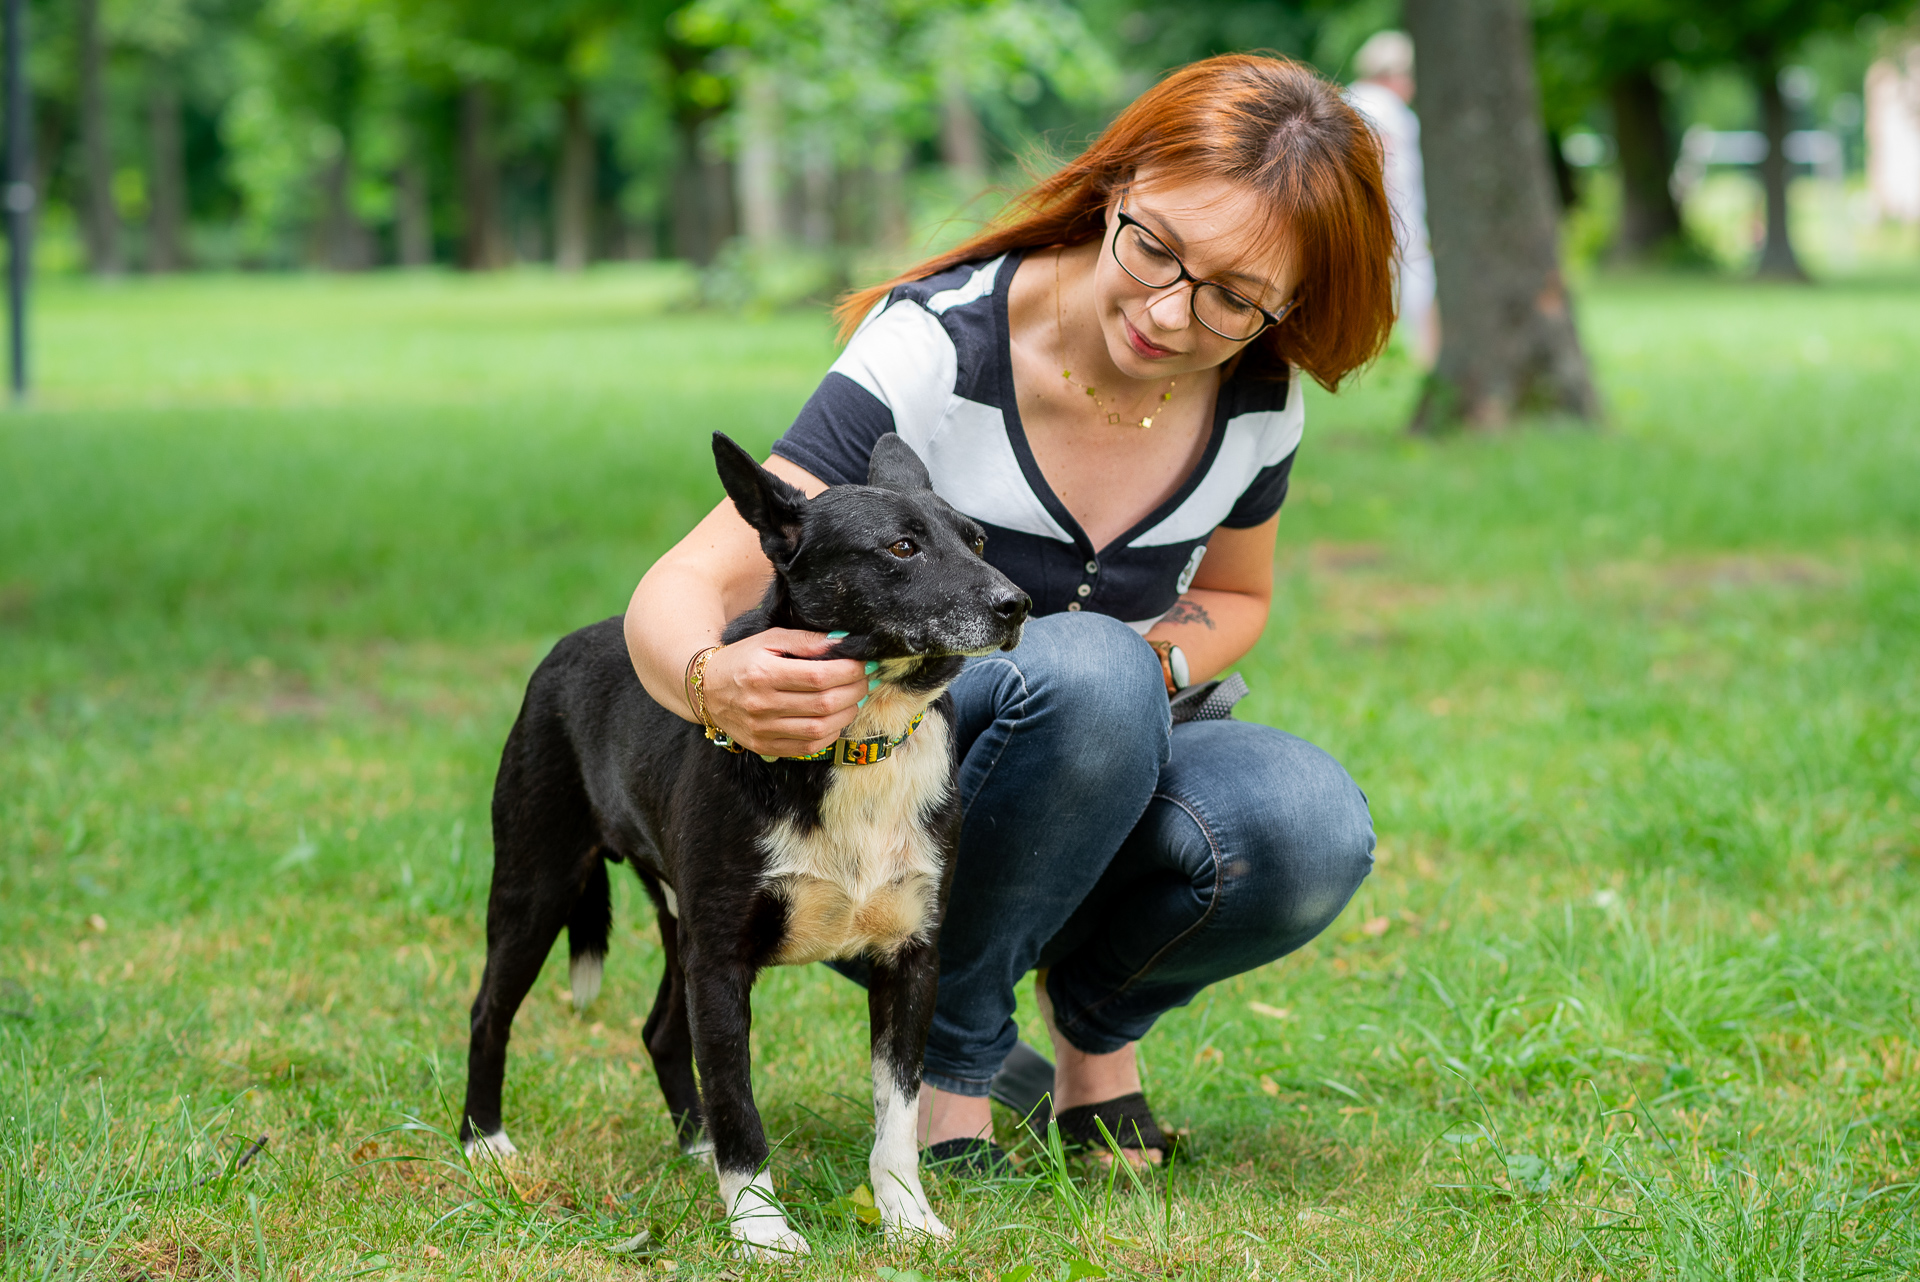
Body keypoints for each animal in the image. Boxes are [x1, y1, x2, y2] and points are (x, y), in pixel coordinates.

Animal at [455, 435, 1029, 1258]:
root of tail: (569, 643)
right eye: (901, 547)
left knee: (661, 1031)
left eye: (977, 542)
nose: (1016, 605)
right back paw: (484, 1142)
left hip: (675, 920)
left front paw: (906, 1218)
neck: (858, 743)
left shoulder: (911, 957)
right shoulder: (722, 962)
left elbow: (897, 1116)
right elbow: (738, 1103)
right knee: (488, 1011)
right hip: (538, 884)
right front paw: (760, 1227)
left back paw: (692, 1145)